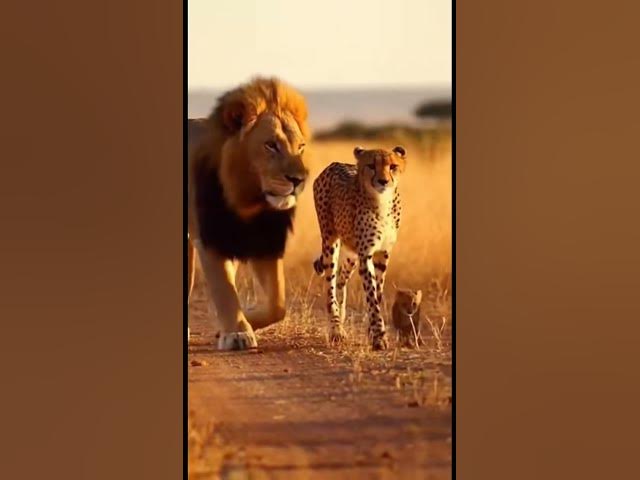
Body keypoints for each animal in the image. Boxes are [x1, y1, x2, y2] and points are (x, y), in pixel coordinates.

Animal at [188, 77, 310, 350]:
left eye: (300, 147)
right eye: (271, 145)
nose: (298, 180)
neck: (247, 201)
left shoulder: (266, 240)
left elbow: (277, 305)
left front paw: (239, 323)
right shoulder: (211, 238)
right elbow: (224, 289)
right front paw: (237, 333)